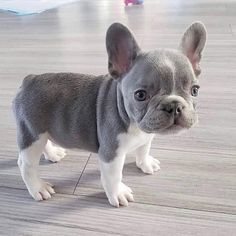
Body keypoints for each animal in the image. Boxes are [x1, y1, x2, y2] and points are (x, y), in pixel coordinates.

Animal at [12, 21, 206, 206]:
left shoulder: (146, 137)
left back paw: (53, 154)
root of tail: (29, 80)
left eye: (195, 90)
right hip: (31, 134)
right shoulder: (111, 154)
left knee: (44, 142)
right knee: (25, 164)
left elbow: (143, 150)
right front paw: (117, 194)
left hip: (40, 131)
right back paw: (38, 188)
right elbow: (114, 177)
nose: (174, 105)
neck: (133, 123)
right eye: (140, 95)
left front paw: (145, 163)